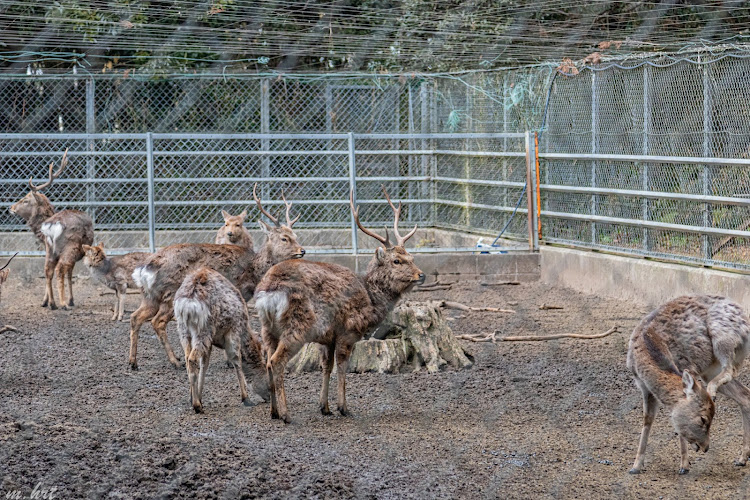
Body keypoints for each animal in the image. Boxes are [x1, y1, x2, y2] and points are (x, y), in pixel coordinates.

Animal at [8, 148, 94, 310]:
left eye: (26, 200)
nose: (11, 207)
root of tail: (53, 225)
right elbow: (69, 274)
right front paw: (70, 300)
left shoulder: (49, 248)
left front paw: (45, 301)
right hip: (70, 247)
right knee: (59, 270)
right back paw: (63, 303)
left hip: (56, 249)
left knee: (48, 270)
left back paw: (53, 304)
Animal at [129, 184, 306, 372]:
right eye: (284, 238)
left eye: (295, 236)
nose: (302, 250)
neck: (254, 269)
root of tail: (145, 268)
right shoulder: (237, 293)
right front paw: (231, 359)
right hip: (171, 294)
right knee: (157, 322)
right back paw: (175, 361)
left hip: (150, 295)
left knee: (135, 317)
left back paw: (133, 362)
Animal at [176, 268, 270, 412]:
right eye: (265, 366)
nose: (269, 396)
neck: (245, 330)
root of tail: (187, 304)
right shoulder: (234, 330)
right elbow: (236, 360)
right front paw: (246, 398)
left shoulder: (211, 341)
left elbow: (205, 365)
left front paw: (197, 397)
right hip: (204, 330)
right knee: (192, 359)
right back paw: (197, 406)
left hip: (183, 330)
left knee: (187, 358)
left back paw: (194, 400)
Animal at [256, 187, 426, 422]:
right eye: (397, 261)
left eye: (412, 257)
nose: (421, 274)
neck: (371, 300)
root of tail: (269, 290)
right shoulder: (348, 330)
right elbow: (343, 367)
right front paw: (343, 407)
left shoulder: (327, 338)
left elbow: (326, 367)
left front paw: (324, 406)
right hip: (298, 326)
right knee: (276, 361)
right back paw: (286, 415)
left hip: (267, 327)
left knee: (267, 360)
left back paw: (273, 411)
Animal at [628, 294, 750, 474]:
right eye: (703, 419)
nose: (706, 447)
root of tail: (745, 320)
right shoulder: (644, 387)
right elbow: (647, 420)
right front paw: (635, 466)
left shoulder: (686, 367)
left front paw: (684, 465)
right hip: (710, 368)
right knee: (744, 394)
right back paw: (742, 458)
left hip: (722, 338)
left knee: (729, 370)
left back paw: (712, 390)